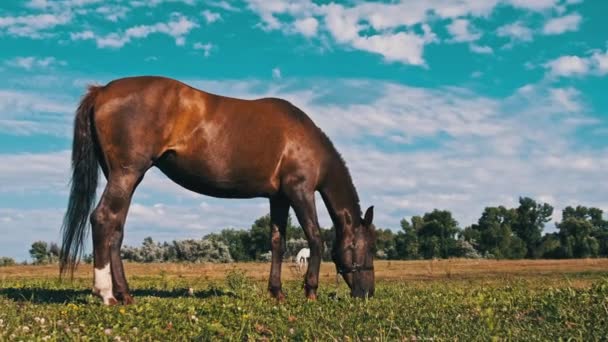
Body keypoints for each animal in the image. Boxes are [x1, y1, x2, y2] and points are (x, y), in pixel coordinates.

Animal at [60, 75, 376, 304]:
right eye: (369, 247)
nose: (367, 293)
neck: (305, 140)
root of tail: (102, 91)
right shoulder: (301, 191)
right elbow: (315, 237)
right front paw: (310, 291)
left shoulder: (278, 197)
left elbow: (277, 242)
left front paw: (277, 292)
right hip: (126, 174)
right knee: (103, 219)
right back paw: (106, 294)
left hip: (125, 178)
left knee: (116, 229)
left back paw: (125, 294)